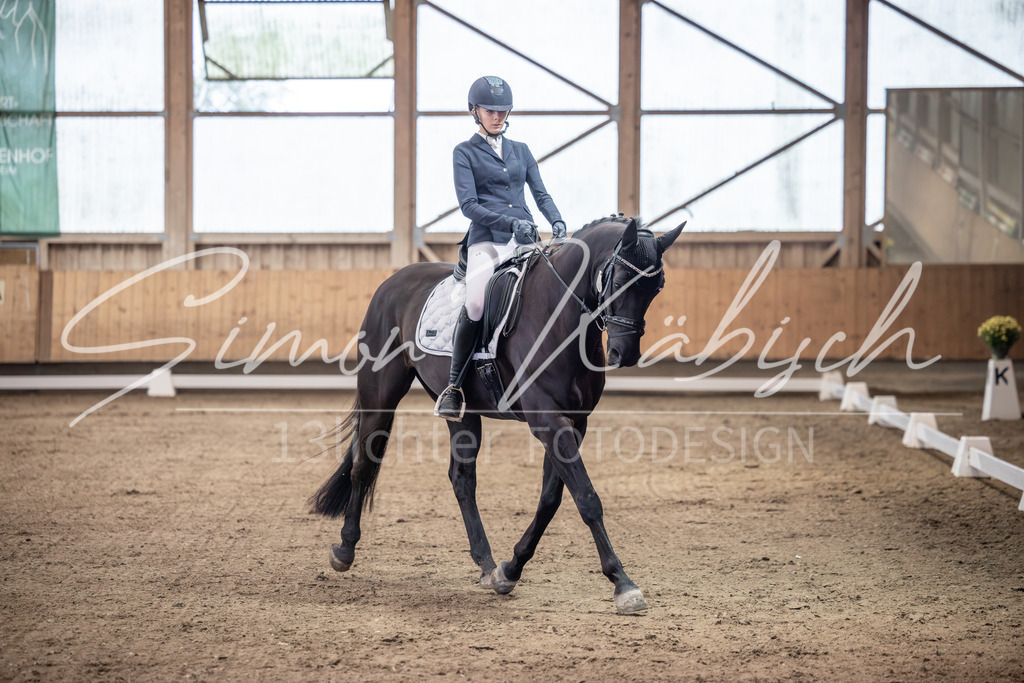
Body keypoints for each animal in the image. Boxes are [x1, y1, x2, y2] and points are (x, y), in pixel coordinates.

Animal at [309, 215, 686, 614]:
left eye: (657, 287)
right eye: (618, 279)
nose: (623, 354)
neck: (558, 315)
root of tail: (394, 279)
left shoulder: (573, 423)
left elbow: (550, 500)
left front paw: (511, 568)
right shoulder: (548, 421)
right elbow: (586, 498)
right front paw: (623, 583)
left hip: (462, 412)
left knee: (461, 478)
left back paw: (487, 564)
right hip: (380, 394)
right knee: (363, 463)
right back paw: (345, 549)